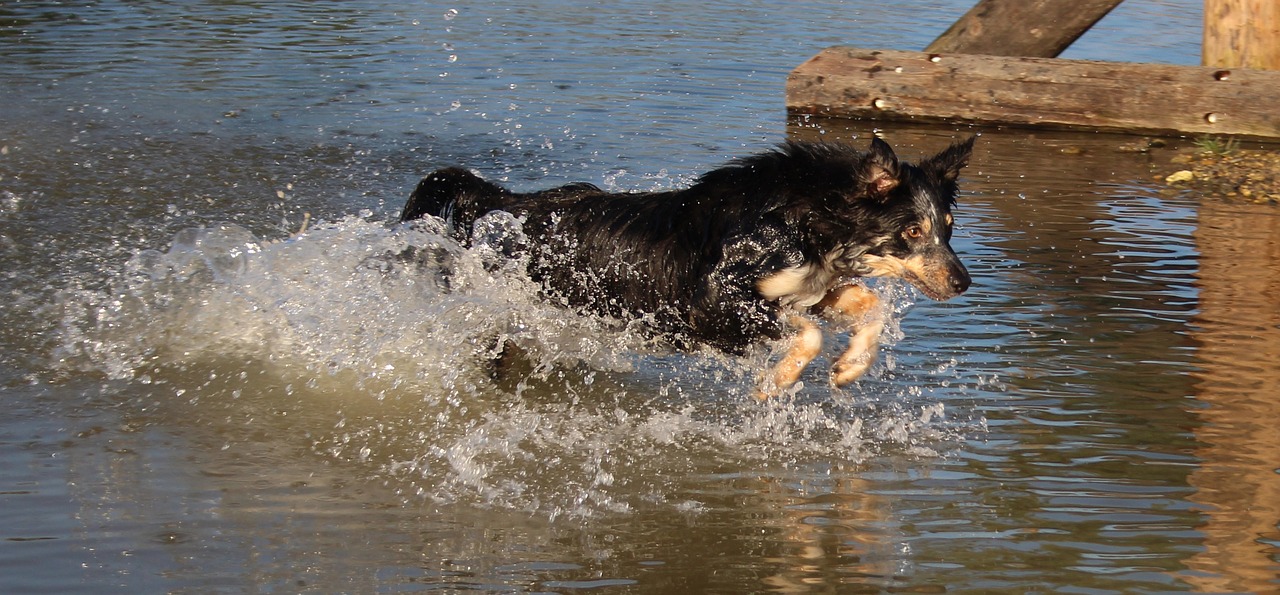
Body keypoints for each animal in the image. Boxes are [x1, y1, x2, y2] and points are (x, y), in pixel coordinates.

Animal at [399, 134, 967, 394]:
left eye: (948, 226)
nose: (963, 282)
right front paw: (775, 382)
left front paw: (850, 366)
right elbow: (807, 334)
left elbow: (866, 305)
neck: (804, 217)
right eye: (912, 231)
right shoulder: (712, 302)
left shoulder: (809, 288)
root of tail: (517, 204)